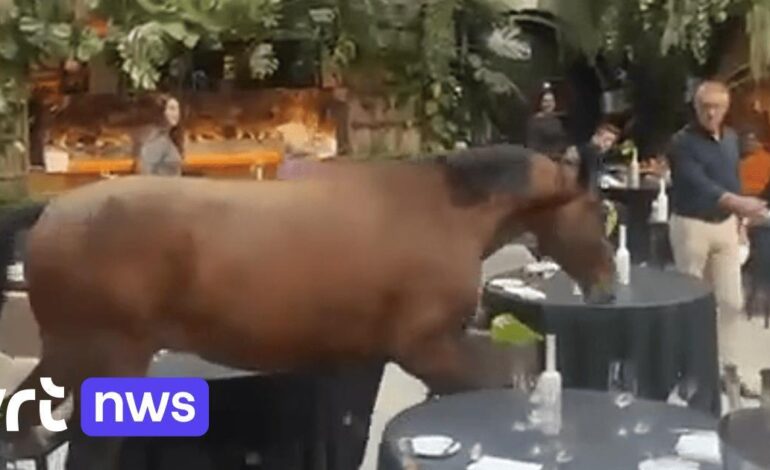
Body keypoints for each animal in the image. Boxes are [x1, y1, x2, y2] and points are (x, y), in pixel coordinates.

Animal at [0, 144, 615, 469]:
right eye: (594, 210)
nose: (608, 291)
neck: (444, 214)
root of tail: (48, 215)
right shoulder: (428, 348)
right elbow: (504, 376)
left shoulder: (362, 363)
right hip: (102, 360)